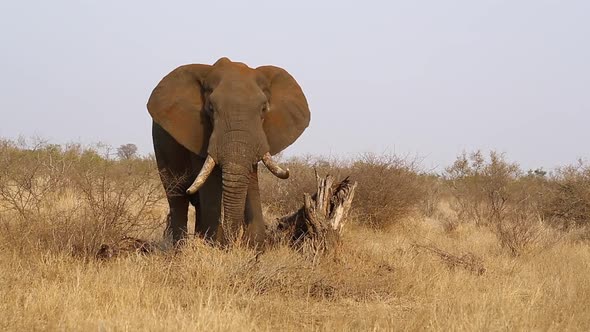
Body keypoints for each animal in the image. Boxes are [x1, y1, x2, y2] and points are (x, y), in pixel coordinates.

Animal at [147, 57, 312, 246]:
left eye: (263, 109)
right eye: (211, 108)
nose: (233, 241)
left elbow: (250, 177)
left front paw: (253, 245)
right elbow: (210, 182)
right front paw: (216, 245)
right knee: (177, 195)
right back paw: (181, 248)